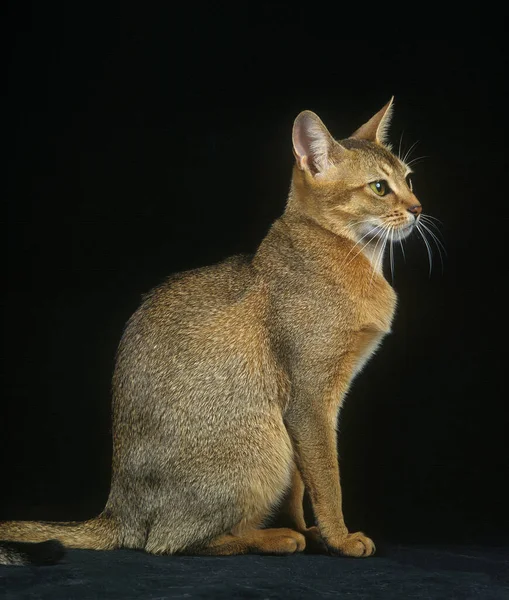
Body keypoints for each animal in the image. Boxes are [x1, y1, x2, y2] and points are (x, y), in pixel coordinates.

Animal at [0, 97, 424, 564]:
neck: (353, 257)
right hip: (263, 443)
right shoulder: (310, 398)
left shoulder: (303, 408)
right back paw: (271, 539)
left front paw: (308, 530)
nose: (418, 208)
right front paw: (339, 538)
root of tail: (119, 509)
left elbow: (300, 485)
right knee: (168, 542)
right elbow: (327, 478)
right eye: (379, 187)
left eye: (408, 179)